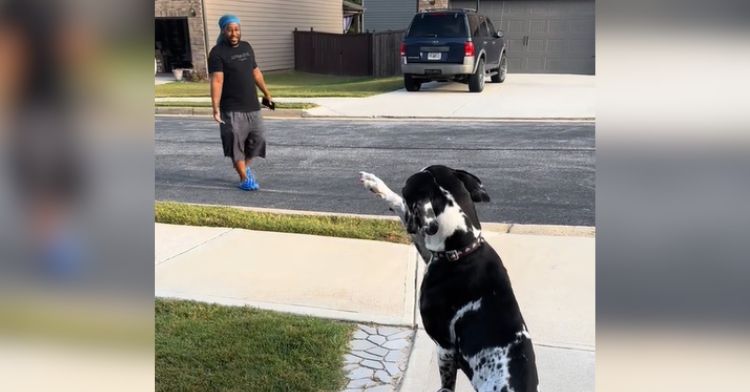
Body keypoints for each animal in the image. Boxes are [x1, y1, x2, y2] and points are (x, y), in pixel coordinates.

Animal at [362, 165, 536, 392]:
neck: (463, 249)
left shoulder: (444, 347)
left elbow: (446, 384)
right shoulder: (429, 250)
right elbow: (398, 204)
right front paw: (375, 184)